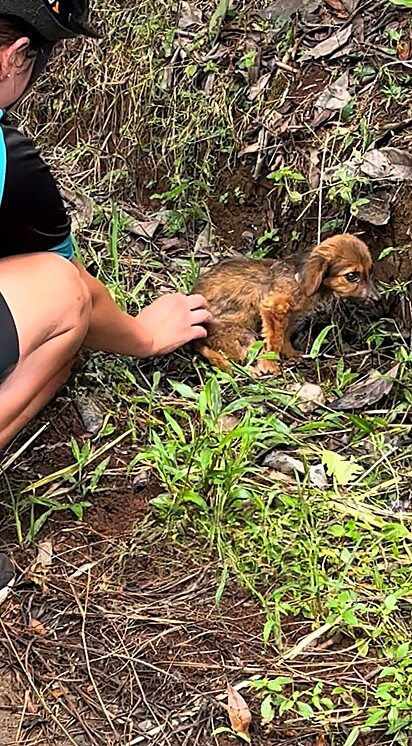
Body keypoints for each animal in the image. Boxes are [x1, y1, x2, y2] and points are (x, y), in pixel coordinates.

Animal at [193, 232, 380, 372]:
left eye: (371, 271)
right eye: (351, 276)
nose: (378, 299)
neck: (298, 278)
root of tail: (197, 344)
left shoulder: (289, 313)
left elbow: (284, 335)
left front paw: (290, 353)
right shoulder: (273, 307)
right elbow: (274, 339)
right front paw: (269, 364)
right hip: (243, 336)